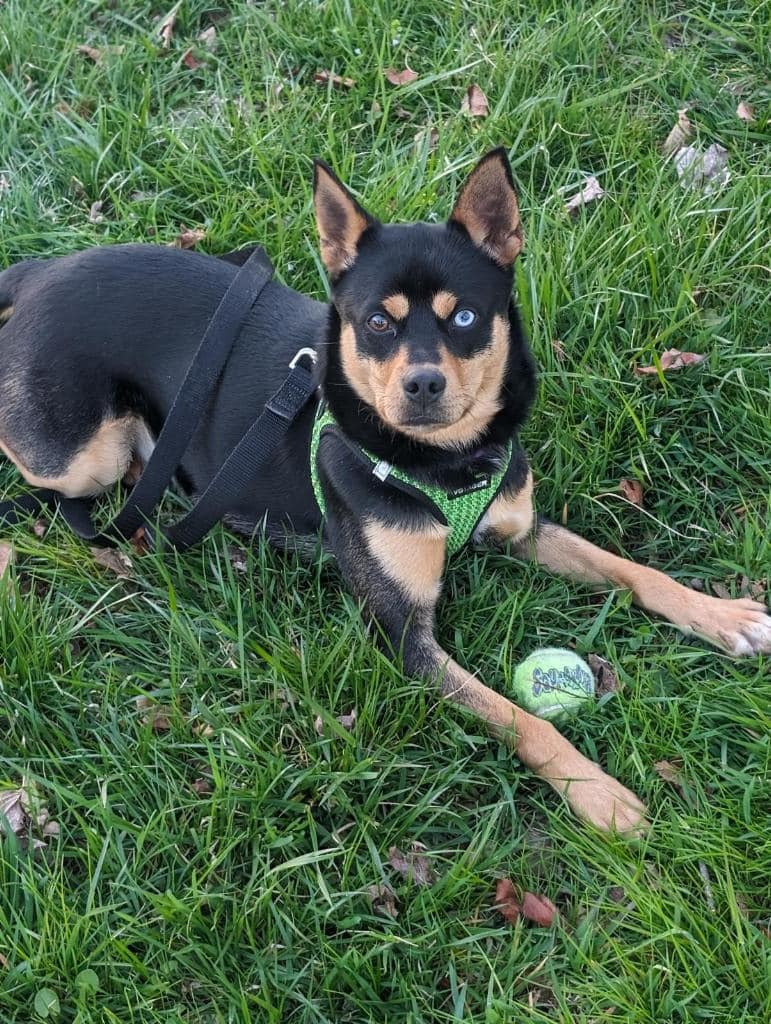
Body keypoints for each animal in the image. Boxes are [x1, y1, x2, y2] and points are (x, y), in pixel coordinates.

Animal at [1, 151, 769, 835]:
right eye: (376, 322)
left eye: (464, 318)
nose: (423, 383)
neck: (443, 464)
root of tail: (39, 273)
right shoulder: (404, 636)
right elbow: (520, 717)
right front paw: (597, 793)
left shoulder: (519, 527)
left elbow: (631, 571)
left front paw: (722, 615)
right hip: (81, 458)